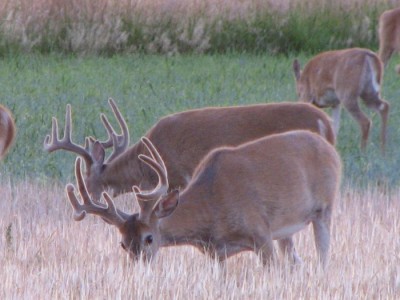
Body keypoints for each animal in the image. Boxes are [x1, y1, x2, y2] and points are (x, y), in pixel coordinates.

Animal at [67, 132, 342, 268]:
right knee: (297, 261)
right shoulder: (216, 253)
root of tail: (332, 150)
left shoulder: (261, 232)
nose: (138, 269)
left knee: (324, 255)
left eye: (149, 238)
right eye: (123, 244)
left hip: (325, 207)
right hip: (287, 230)